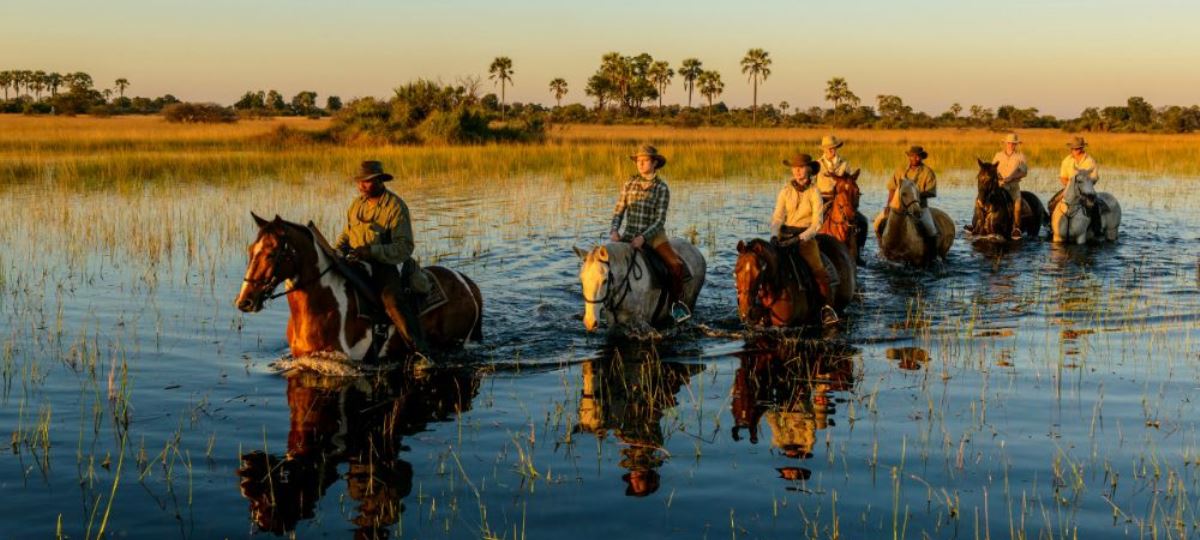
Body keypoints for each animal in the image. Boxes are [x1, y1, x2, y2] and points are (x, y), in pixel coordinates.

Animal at [573, 240, 706, 334]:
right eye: (581, 280)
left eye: (605, 280)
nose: (590, 322)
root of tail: (695, 250)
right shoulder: (613, 323)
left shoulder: (642, 323)